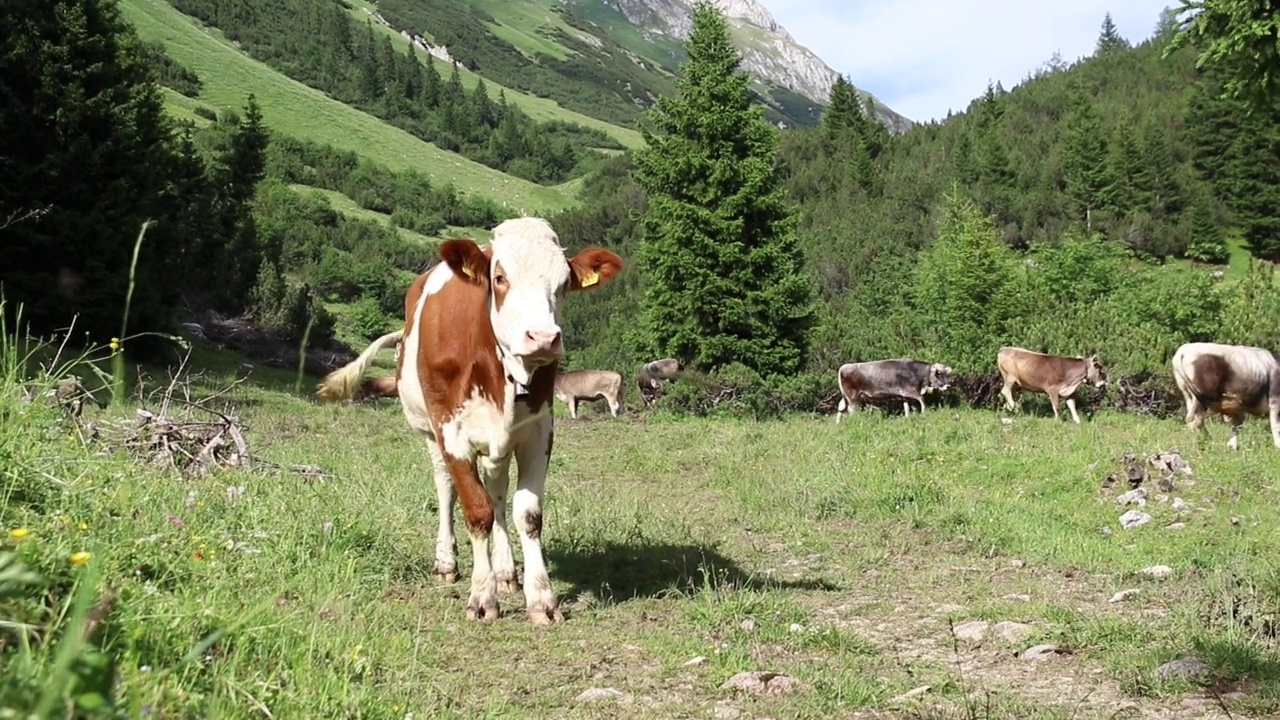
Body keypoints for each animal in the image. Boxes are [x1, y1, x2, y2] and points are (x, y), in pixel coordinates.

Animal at [317, 215, 622, 620]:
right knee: (446, 488)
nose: (543, 338)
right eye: (500, 278)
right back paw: (447, 563)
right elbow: (476, 512)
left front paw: (541, 599)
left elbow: (527, 514)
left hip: (497, 444)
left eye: (563, 284)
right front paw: (482, 597)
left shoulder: (538, 431)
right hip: (429, 432)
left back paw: (506, 572)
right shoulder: (452, 432)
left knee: (497, 491)